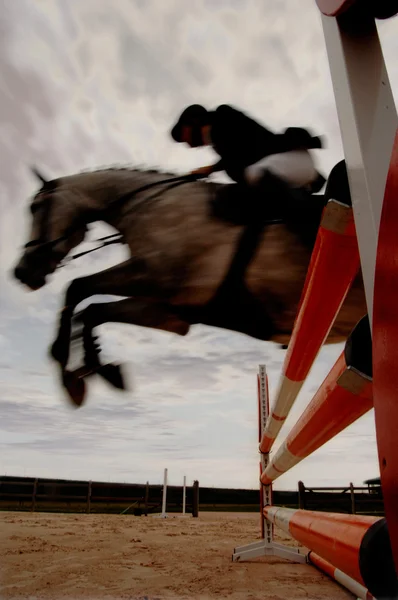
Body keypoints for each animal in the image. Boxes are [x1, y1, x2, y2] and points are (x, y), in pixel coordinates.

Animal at [12, 164, 366, 408]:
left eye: (36, 208)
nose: (21, 272)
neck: (151, 208)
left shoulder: (153, 275)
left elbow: (77, 287)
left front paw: (64, 365)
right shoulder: (171, 312)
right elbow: (93, 311)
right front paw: (98, 370)